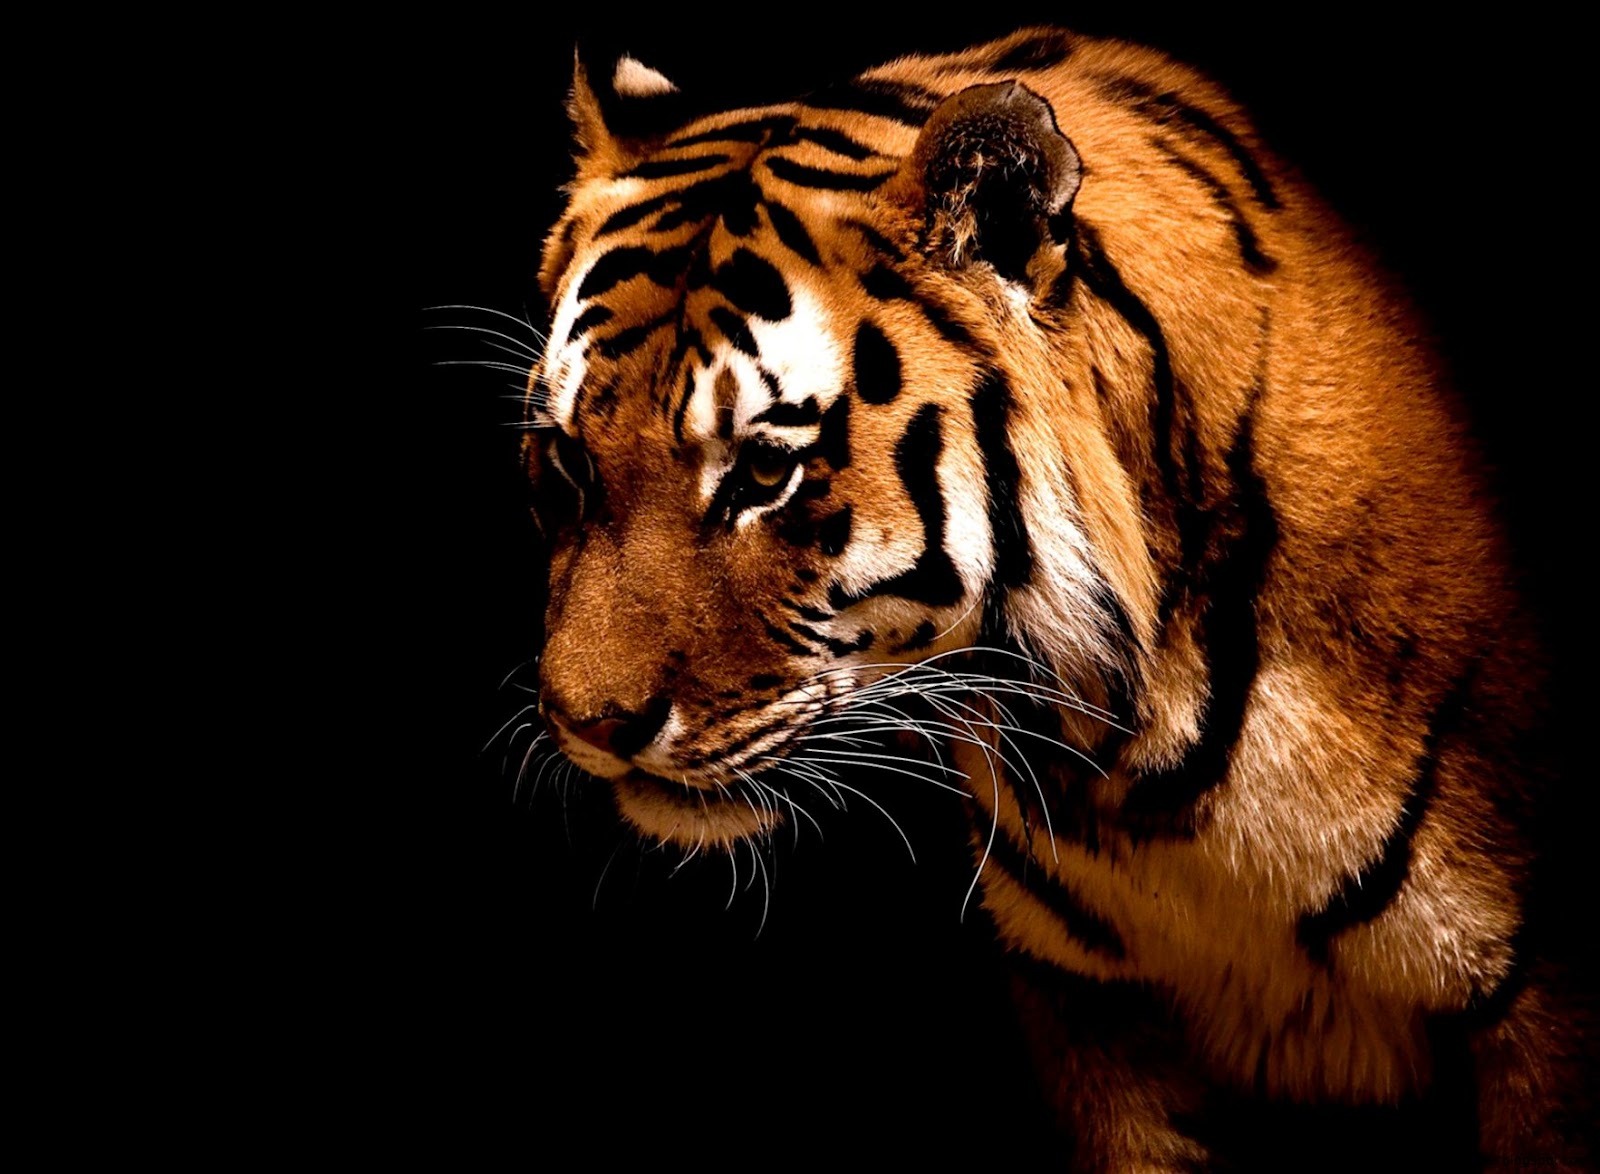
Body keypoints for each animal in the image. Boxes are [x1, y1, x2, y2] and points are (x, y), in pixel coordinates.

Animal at [518, 25, 1592, 1169]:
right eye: (568, 461)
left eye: (765, 471)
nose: (590, 726)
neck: (1140, 770)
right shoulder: (1091, 1006)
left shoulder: (1541, 1002)